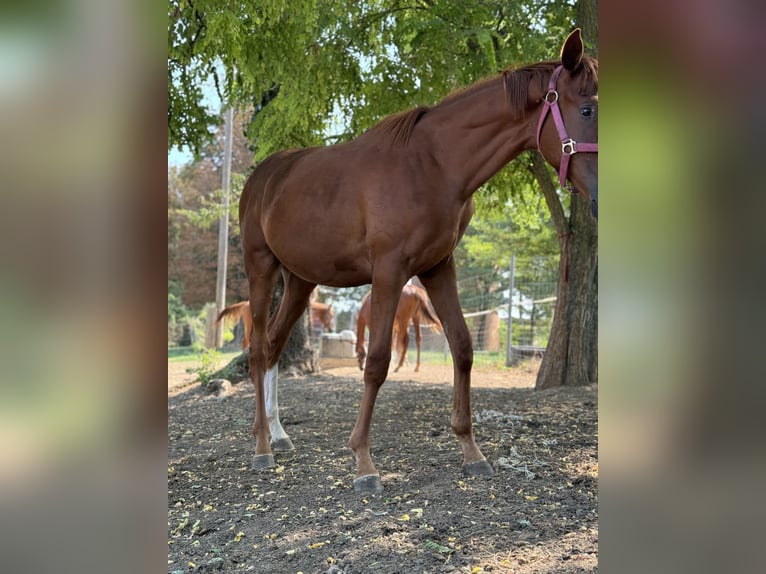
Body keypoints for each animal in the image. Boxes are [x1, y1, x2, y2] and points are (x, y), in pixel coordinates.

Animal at [237, 29, 596, 492]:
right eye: (587, 108)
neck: (434, 166)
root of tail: (262, 178)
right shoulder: (389, 272)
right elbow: (377, 362)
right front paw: (364, 463)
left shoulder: (439, 268)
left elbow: (462, 346)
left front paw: (471, 451)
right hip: (261, 270)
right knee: (258, 352)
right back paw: (262, 445)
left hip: (300, 281)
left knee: (275, 347)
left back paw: (280, 435)